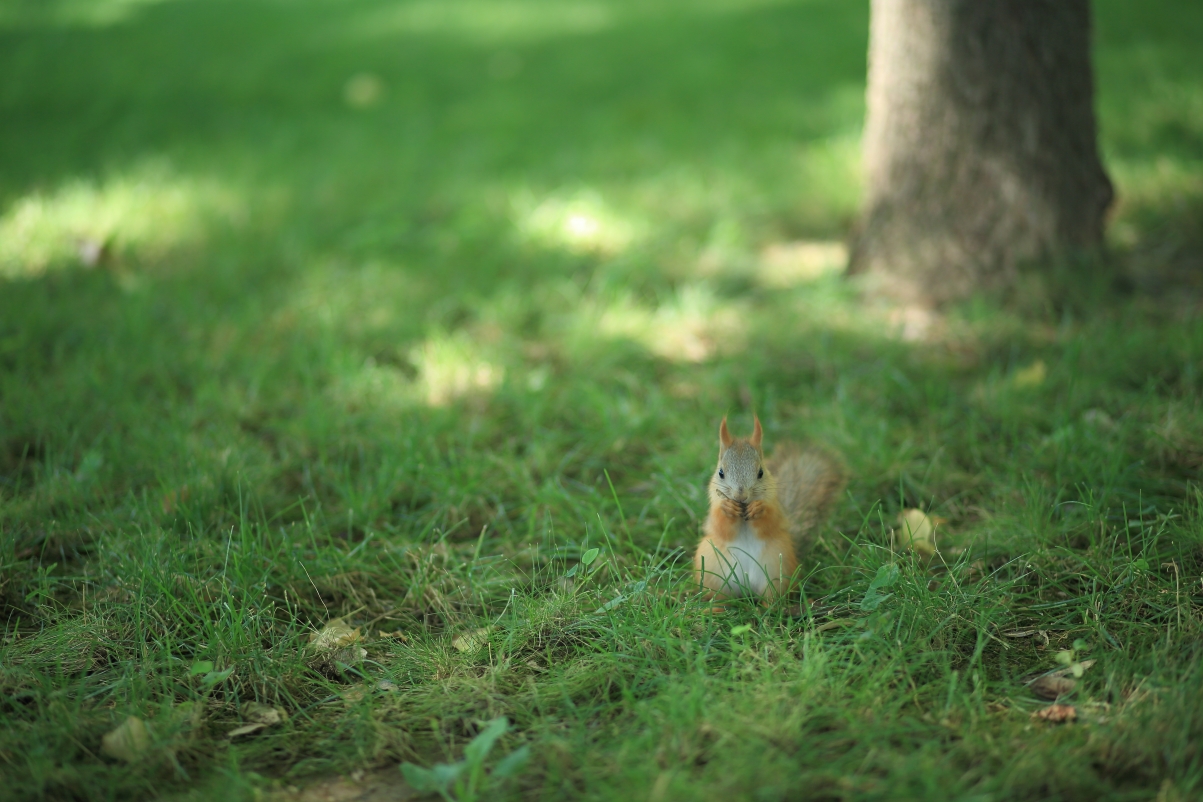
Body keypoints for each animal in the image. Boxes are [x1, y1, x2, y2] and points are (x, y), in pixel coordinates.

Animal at [697, 418, 846, 606]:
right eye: (721, 473)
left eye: (761, 472)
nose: (741, 496)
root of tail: (747, 588)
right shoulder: (714, 513)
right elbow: (720, 526)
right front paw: (727, 508)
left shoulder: (776, 510)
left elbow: (769, 522)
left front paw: (758, 509)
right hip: (711, 566)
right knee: (721, 597)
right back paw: (717, 608)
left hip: (777, 565)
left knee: (772, 595)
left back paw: (768, 608)